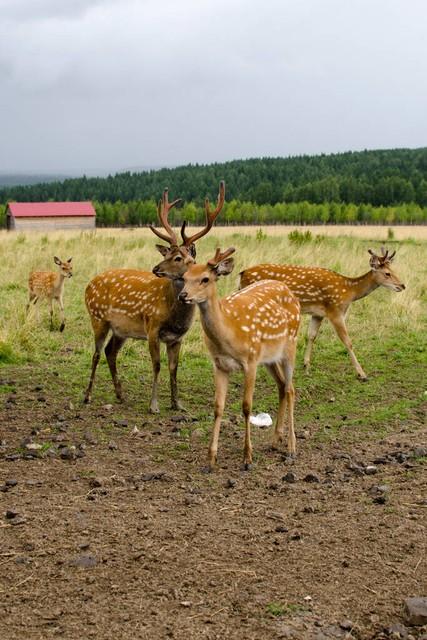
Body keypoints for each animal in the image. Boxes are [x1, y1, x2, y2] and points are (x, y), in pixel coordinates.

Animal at [82, 181, 226, 410]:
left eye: (178, 258)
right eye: (167, 253)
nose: (155, 268)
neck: (174, 316)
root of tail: (88, 285)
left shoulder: (177, 338)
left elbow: (174, 368)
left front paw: (177, 404)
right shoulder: (152, 327)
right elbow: (157, 365)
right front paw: (154, 405)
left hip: (121, 329)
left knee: (110, 352)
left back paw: (120, 395)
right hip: (97, 318)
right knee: (96, 353)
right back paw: (87, 396)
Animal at [171, 248, 300, 472]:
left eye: (205, 279)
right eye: (184, 277)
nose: (183, 295)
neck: (229, 333)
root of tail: (291, 293)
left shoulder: (250, 360)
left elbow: (246, 406)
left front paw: (247, 458)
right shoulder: (219, 364)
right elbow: (218, 407)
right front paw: (210, 459)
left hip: (290, 345)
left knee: (291, 389)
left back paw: (291, 448)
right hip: (270, 358)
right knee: (282, 386)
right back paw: (275, 441)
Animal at [239, 246, 406, 380]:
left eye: (393, 270)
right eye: (387, 273)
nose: (402, 285)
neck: (349, 292)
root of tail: (241, 274)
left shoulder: (318, 313)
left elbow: (311, 336)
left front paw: (306, 366)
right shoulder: (335, 311)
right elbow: (347, 341)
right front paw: (362, 374)